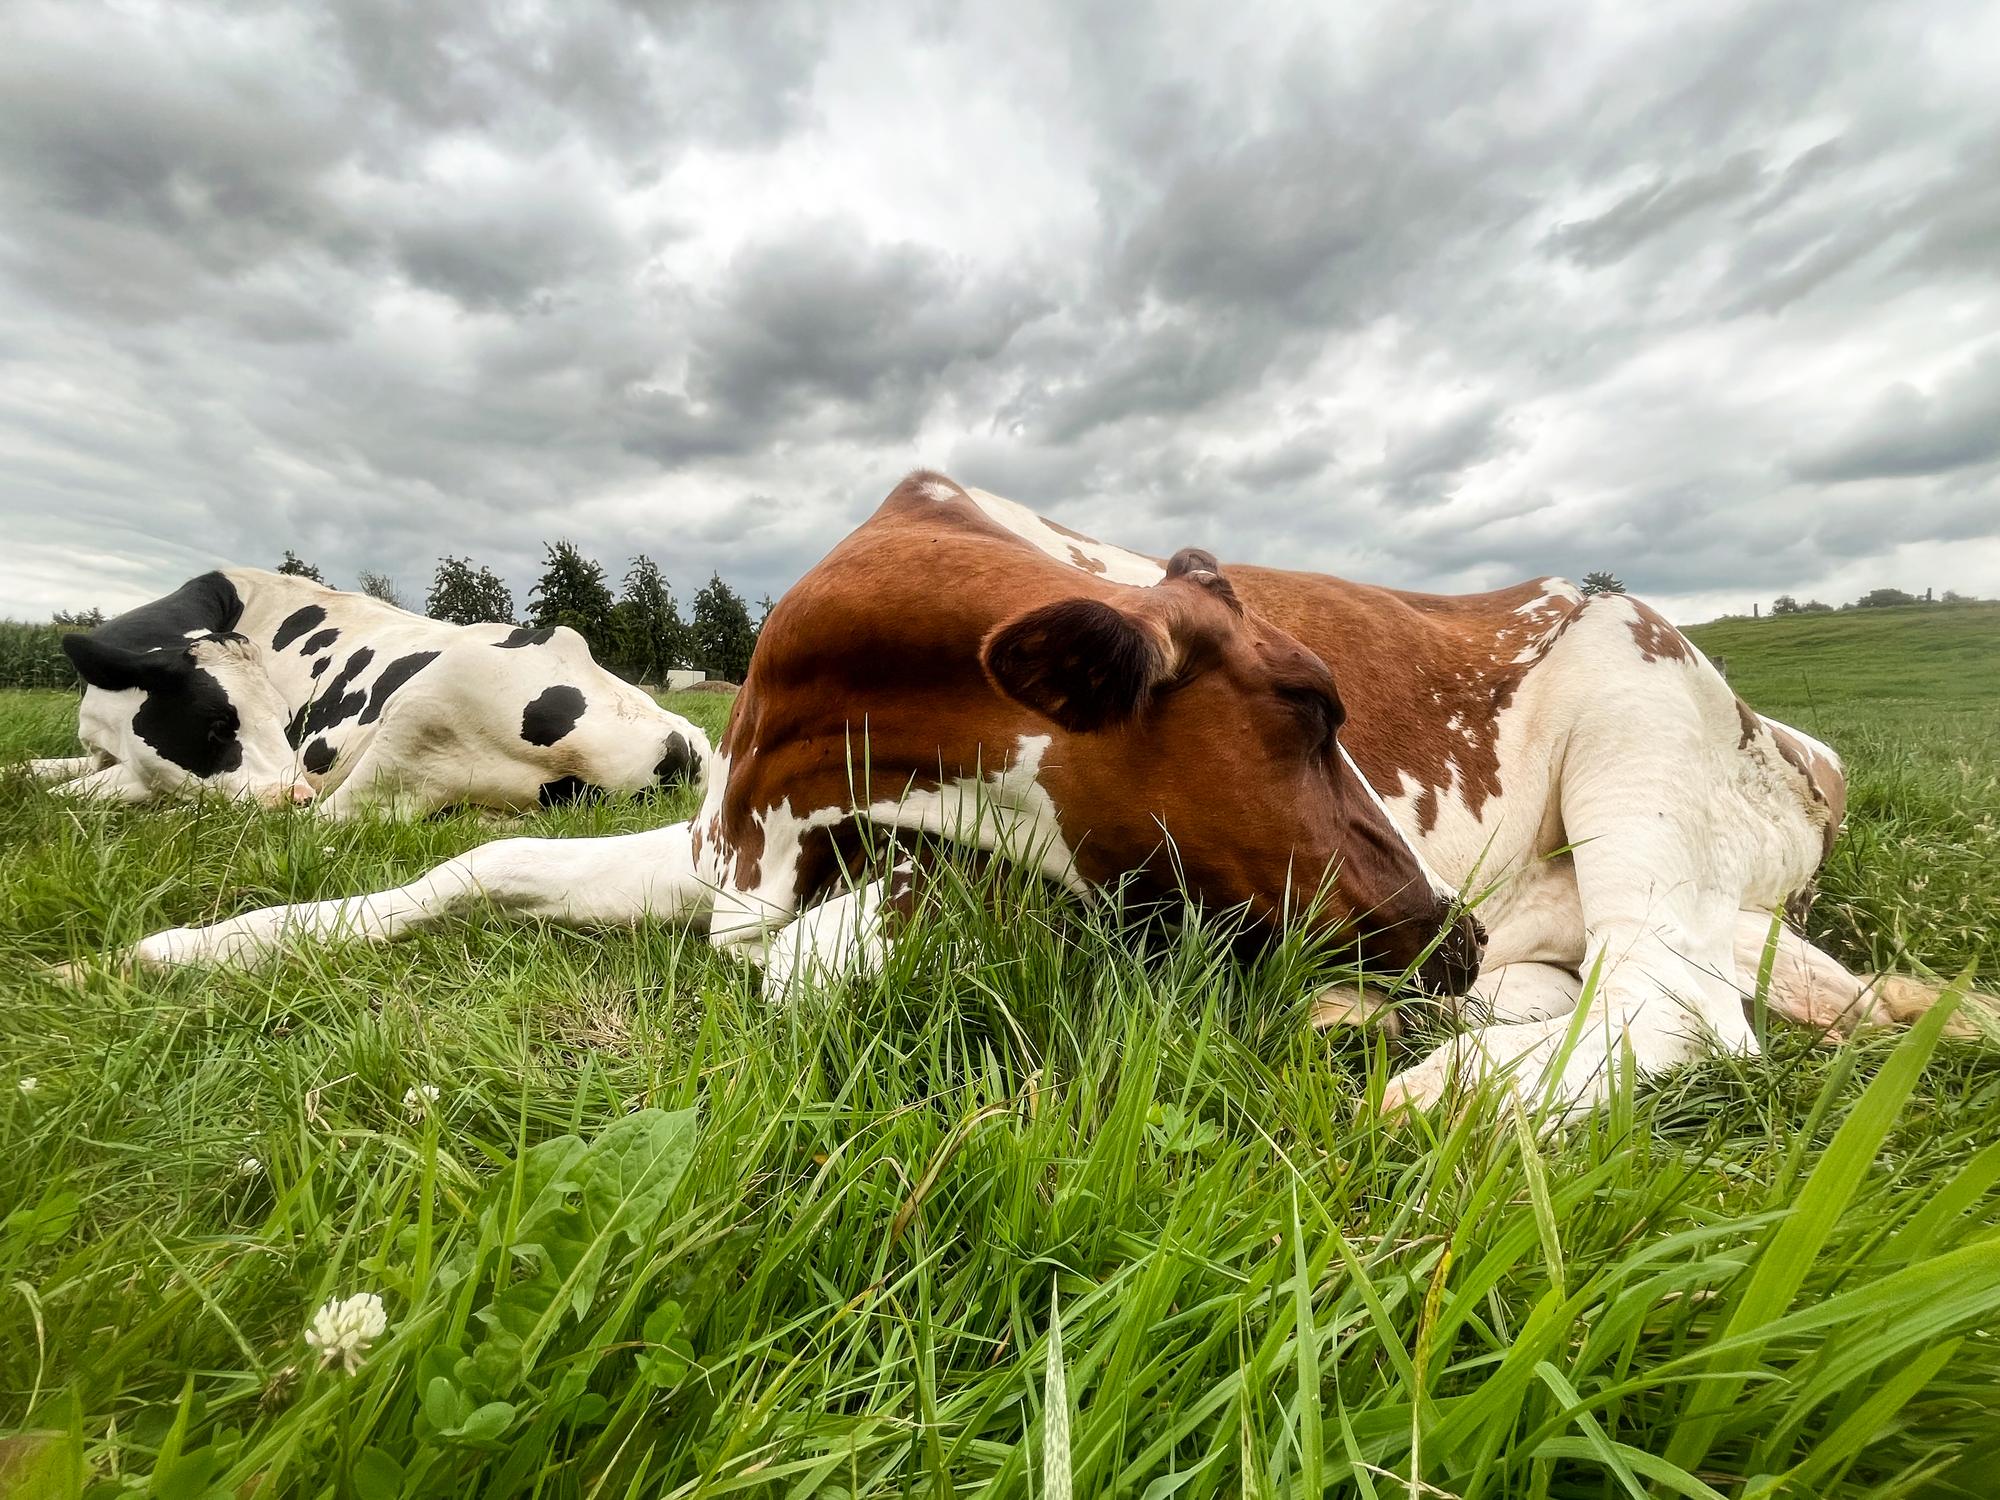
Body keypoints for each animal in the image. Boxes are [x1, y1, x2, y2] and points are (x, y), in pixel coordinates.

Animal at [21, 569, 708, 818]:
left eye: (282, 718)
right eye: (217, 723)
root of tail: (677, 745)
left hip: (422, 714)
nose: (290, 792)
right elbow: (36, 769)